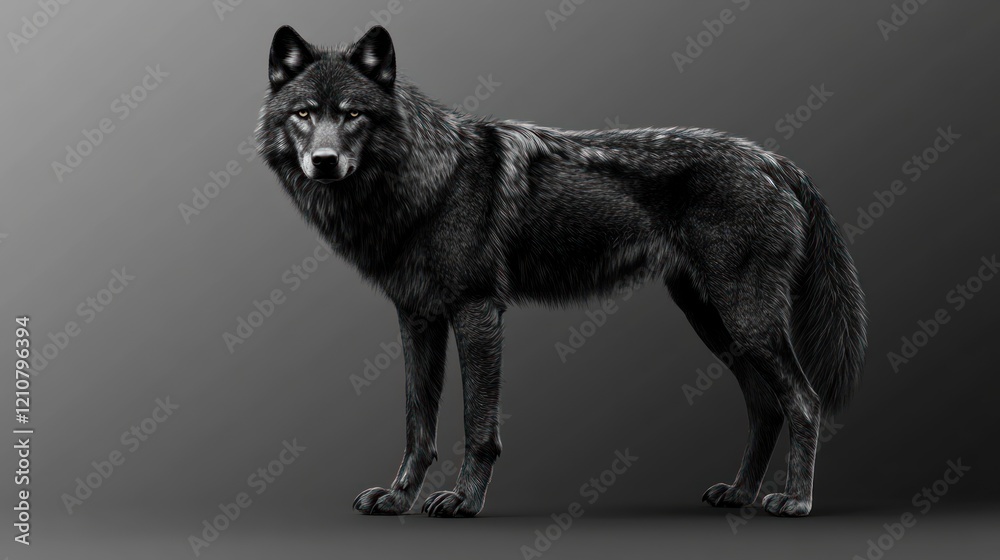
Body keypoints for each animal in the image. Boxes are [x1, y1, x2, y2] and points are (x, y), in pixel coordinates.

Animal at [257, 25, 867, 518]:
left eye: (352, 114)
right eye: (304, 113)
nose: (324, 162)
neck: (422, 183)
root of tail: (774, 161)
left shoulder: (477, 311)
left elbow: (478, 425)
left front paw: (464, 501)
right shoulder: (417, 318)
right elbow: (417, 426)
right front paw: (399, 498)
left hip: (746, 321)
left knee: (804, 402)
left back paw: (795, 501)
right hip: (716, 323)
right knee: (765, 407)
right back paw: (739, 494)